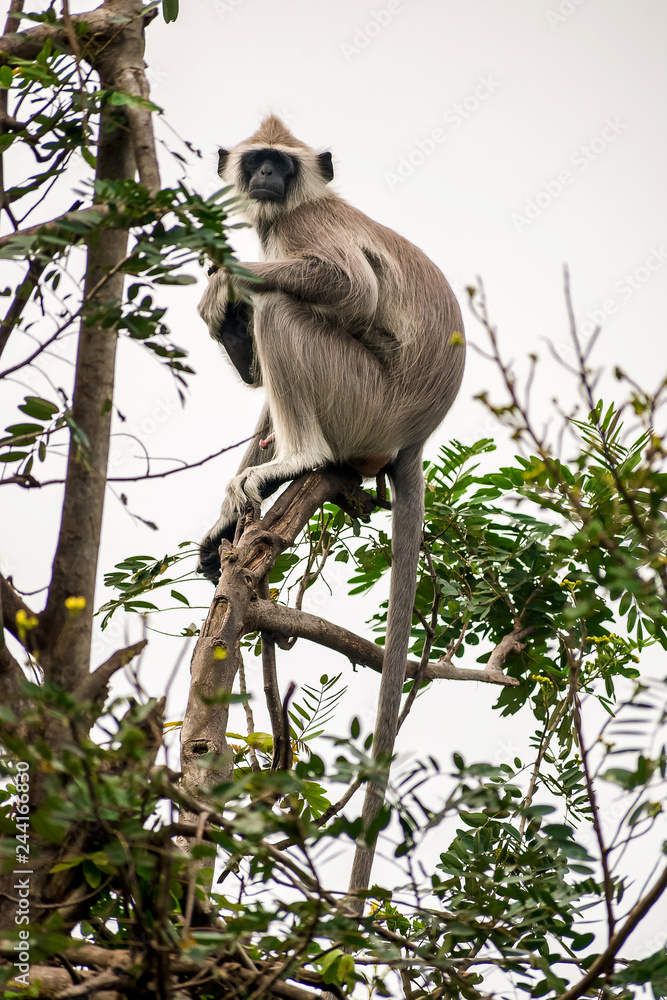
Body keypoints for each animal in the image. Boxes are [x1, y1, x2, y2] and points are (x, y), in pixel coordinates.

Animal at [197, 116, 465, 912]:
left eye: (280, 165)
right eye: (255, 161)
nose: (264, 180)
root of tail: (414, 437)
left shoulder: (303, 231)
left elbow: (348, 289)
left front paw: (229, 278)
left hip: (363, 397)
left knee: (287, 309)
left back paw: (299, 458)